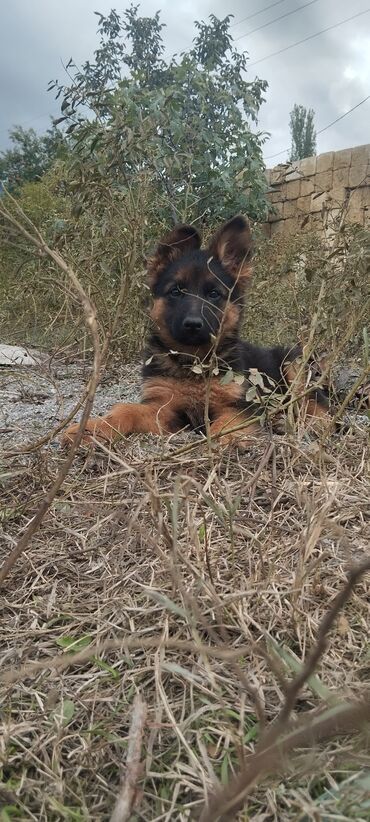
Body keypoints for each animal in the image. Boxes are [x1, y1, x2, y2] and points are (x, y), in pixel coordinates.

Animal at [62, 216, 328, 448]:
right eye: (176, 292)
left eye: (214, 294)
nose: (192, 324)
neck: (194, 363)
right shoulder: (163, 408)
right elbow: (126, 409)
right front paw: (93, 428)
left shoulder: (239, 405)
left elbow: (226, 423)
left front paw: (225, 441)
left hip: (294, 365)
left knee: (317, 405)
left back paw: (308, 424)